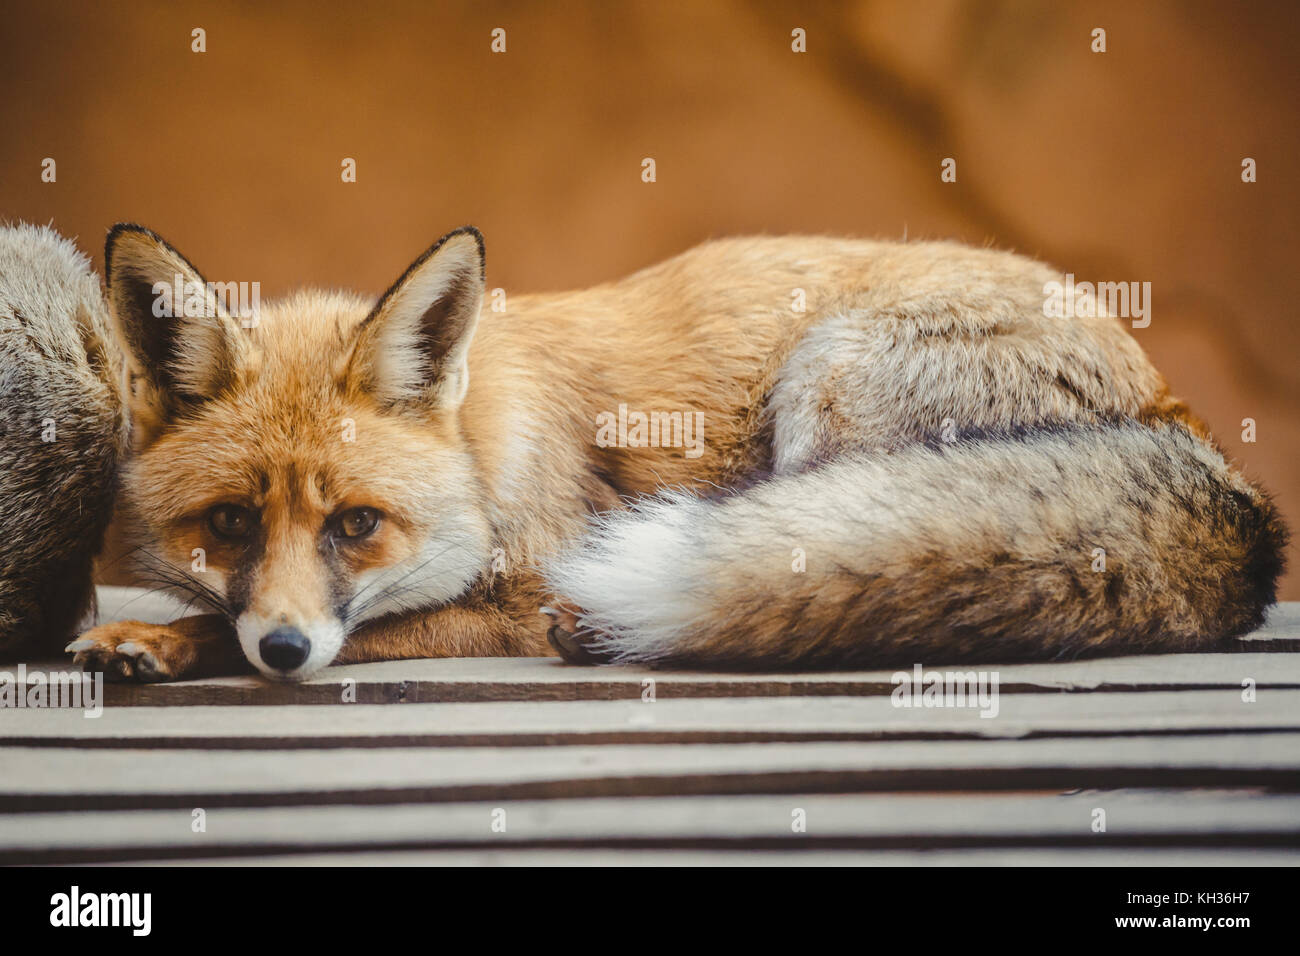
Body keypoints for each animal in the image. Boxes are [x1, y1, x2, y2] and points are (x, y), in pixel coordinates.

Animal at [65, 225, 1284, 686]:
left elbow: (378, 624)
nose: (281, 647)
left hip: (830, 374)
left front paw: (160, 639)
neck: (484, 438)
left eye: (356, 524)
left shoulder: (528, 580)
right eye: (230, 521)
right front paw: (163, 632)